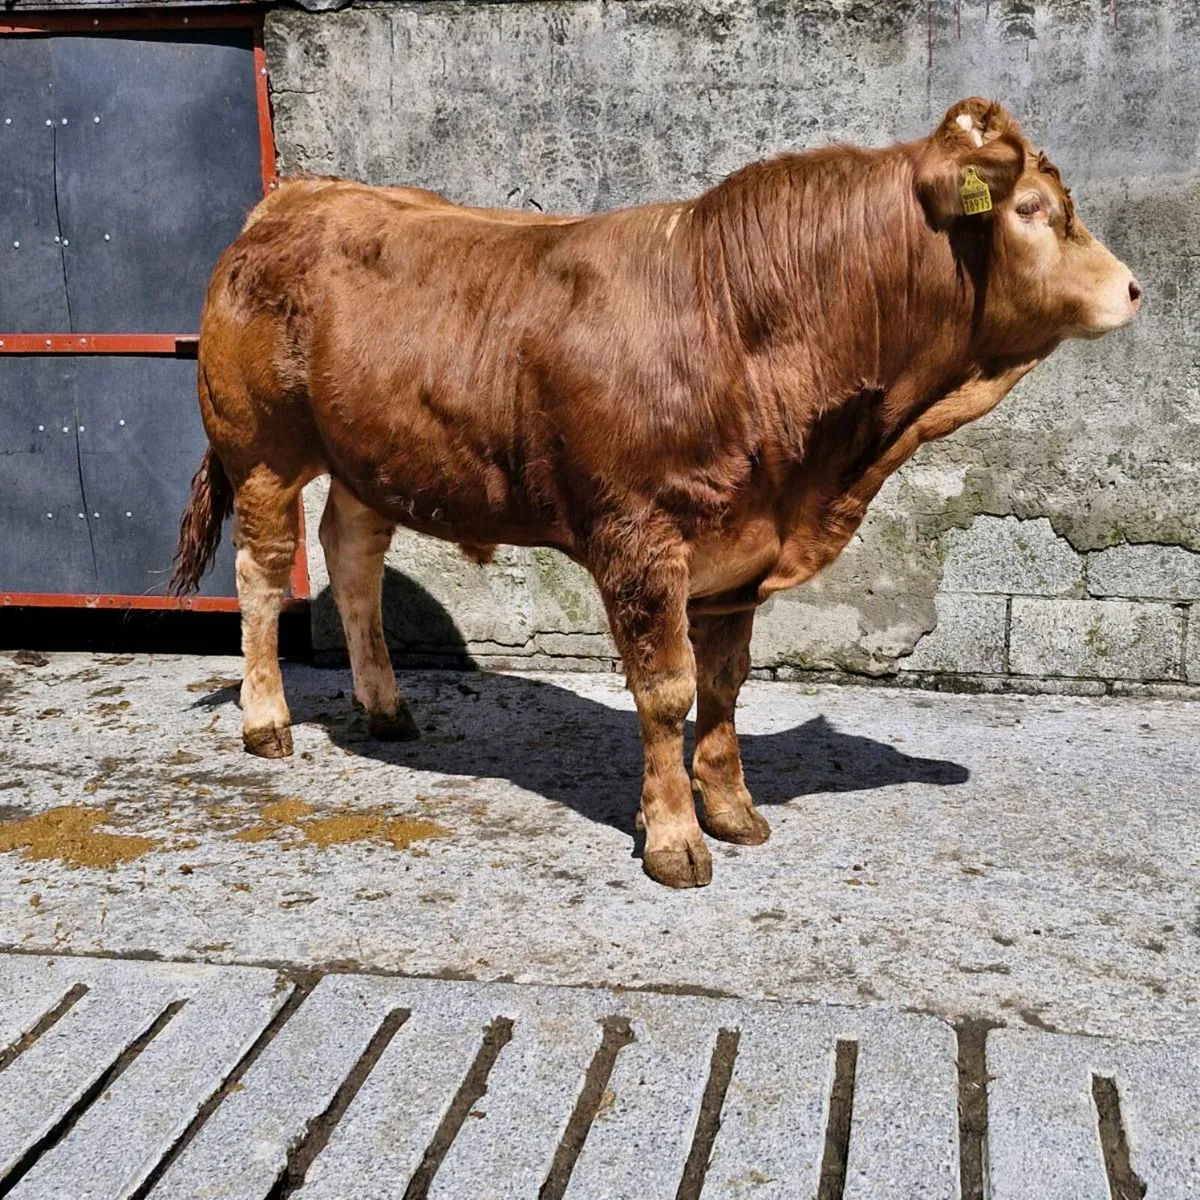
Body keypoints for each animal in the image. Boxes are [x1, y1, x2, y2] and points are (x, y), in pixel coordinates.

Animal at [172, 98, 1141, 888]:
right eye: (1031, 210)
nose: (1134, 288)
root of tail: (297, 197)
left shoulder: (739, 549)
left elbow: (725, 685)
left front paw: (732, 809)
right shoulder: (639, 541)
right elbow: (667, 691)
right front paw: (674, 836)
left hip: (371, 454)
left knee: (354, 558)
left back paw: (386, 707)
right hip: (262, 448)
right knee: (263, 575)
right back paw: (267, 721)